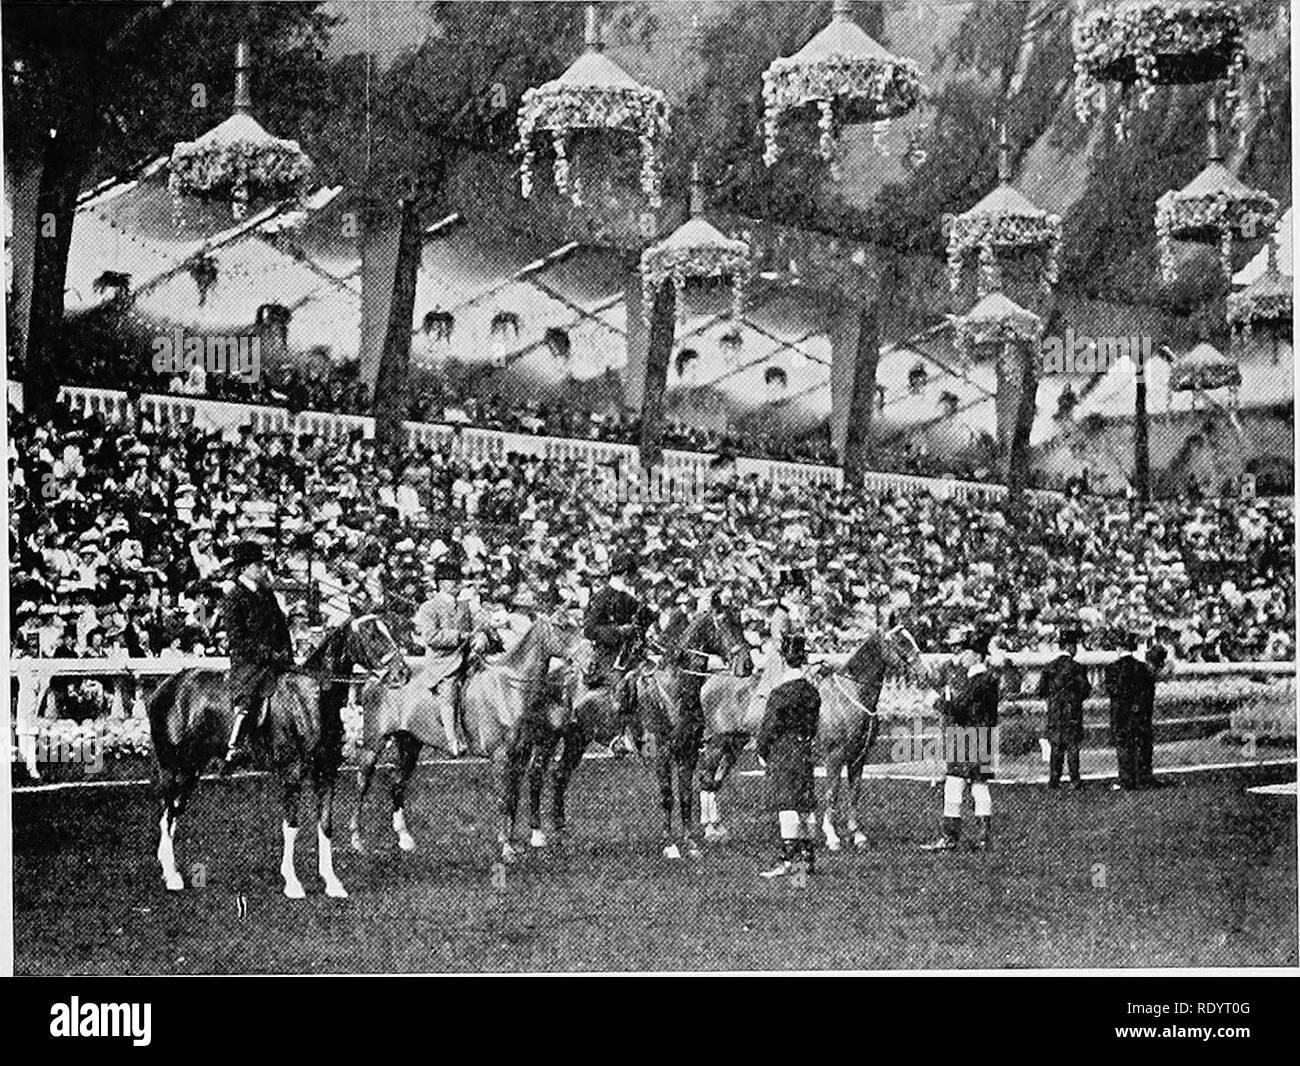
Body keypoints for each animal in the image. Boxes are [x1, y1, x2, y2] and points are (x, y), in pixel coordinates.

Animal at [147, 611, 400, 894]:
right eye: (372, 635)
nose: (402, 671)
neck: (312, 698)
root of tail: (165, 687)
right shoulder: (292, 773)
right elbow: (291, 825)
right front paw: (292, 882)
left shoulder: (326, 772)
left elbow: (325, 825)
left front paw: (332, 882)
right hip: (171, 766)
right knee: (167, 814)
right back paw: (171, 876)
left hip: (191, 770)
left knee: (171, 814)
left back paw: (169, 870)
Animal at [351, 611, 585, 863]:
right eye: (562, 626)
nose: (590, 661)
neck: (509, 688)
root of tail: (378, 676)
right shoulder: (502, 757)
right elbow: (505, 800)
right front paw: (506, 848)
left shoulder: (521, 755)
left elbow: (514, 799)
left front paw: (513, 842)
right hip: (373, 745)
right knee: (362, 783)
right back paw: (357, 841)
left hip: (409, 744)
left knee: (397, 783)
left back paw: (405, 839)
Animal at [629, 608, 754, 857]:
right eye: (724, 624)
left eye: (741, 622)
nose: (747, 664)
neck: (673, 688)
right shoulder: (662, 752)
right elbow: (668, 795)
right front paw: (669, 844)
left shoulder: (689, 751)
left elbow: (686, 795)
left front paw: (689, 842)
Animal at [696, 624, 930, 847]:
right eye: (901, 642)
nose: (925, 673)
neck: (850, 695)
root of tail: (709, 681)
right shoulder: (835, 756)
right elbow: (832, 793)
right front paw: (832, 835)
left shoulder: (858, 758)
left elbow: (854, 794)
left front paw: (857, 835)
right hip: (716, 744)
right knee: (706, 780)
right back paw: (710, 829)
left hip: (733, 745)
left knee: (715, 781)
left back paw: (718, 828)